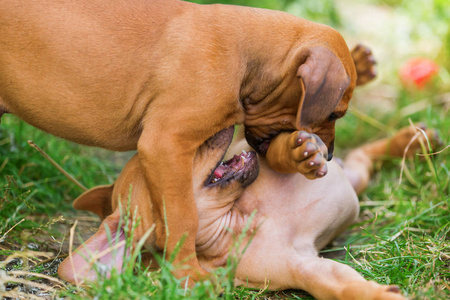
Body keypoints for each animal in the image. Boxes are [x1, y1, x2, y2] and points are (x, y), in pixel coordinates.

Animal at [0, 0, 358, 278]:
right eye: (335, 114)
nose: (329, 155)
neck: (244, 54)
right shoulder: (165, 145)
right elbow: (184, 217)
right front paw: (190, 274)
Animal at [59, 123, 436, 298]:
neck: (240, 217)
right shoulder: (304, 267)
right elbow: (336, 285)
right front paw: (374, 294)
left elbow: (274, 149)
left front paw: (297, 153)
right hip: (355, 179)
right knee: (362, 158)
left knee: (364, 153)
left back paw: (412, 140)